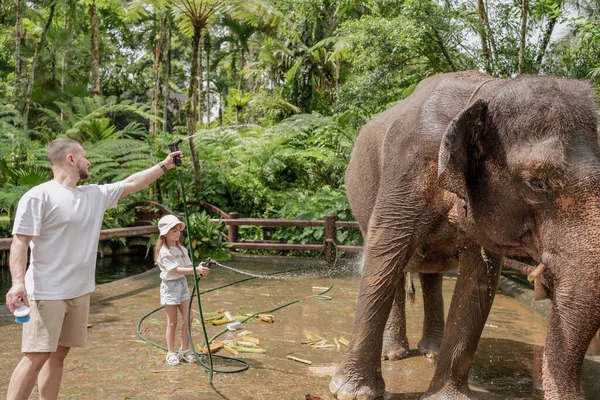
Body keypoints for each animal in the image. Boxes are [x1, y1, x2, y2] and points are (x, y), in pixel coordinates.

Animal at [330, 70, 600, 398]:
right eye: (536, 182)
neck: (488, 92)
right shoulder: (406, 169)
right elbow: (384, 257)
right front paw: (352, 392)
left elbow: (479, 279)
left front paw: (446, 396)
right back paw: (395, 354)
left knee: (430, 272)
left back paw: (431, 351)